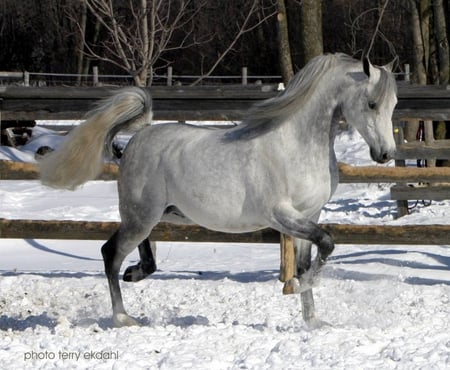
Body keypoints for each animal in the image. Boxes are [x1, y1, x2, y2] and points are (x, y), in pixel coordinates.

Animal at [39, 52, 398, 326]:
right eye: (371, 104)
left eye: (393, 104)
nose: (385, 154)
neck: (295, 145)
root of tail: (136, 138)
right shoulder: (281, 214)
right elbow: (326, 244)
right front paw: (298, 289)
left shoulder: (310, 213)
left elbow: (309, 259)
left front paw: (312, 322)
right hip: (141, 216)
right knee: (109, 253)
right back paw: (123, 317)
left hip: (154, 215)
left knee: (140, 253)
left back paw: (135, 274)